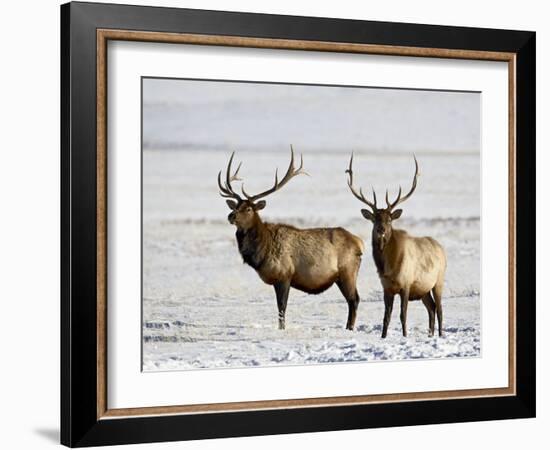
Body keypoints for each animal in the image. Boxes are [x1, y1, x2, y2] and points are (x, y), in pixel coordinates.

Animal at [220, 148, 366, 330]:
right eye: (236, 206)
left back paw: (349, 328)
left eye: (248, 209)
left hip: (348, 271)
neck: (261, 252)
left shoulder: (284, 275)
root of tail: (359, 242)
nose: (230, 216)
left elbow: (282, 308)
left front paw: (281, 329)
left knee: (354, 300)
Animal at [348, 155, 450, 338]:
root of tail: (441, 248)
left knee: (439, 309)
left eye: (389, 220)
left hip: (438, 280)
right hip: (423, 289)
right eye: (375, 219)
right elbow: (386, 317)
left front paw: (405, 336)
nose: (381, 229)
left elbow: (403, 315)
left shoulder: (406, 284)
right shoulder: (386, 288)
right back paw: (430, 334)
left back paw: (439, 335)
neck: (389, 267)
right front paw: (383, 336)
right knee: (431, 308)